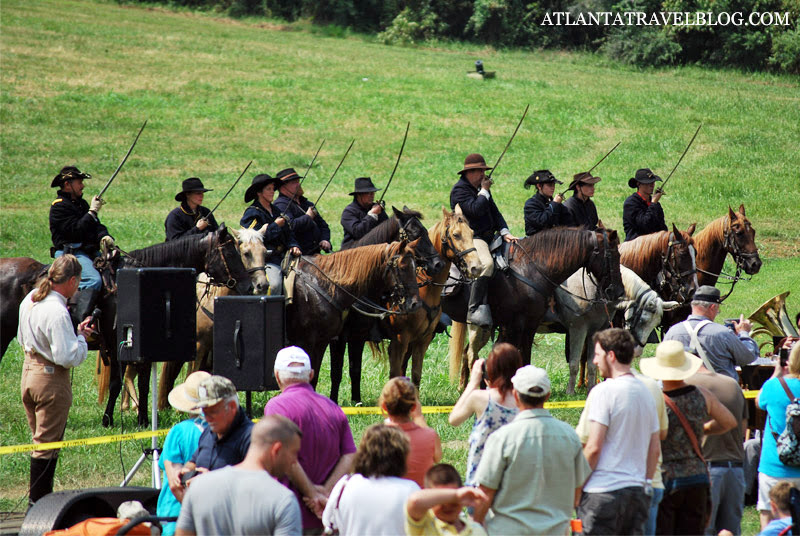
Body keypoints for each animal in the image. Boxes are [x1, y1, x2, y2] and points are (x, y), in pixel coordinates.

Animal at [288, 241, 424, 388]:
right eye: (403, 268)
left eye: (415, 267)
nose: (416, 304)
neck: (326, 285)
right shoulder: (311, 342)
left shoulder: (325, 342)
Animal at [444, 227, 624, 390]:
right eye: (613, 256)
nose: (618, 291)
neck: (530, 268)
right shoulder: (517, 326)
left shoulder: (530, 325)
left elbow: (524, 357)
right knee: (471, 355)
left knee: (469, 354)